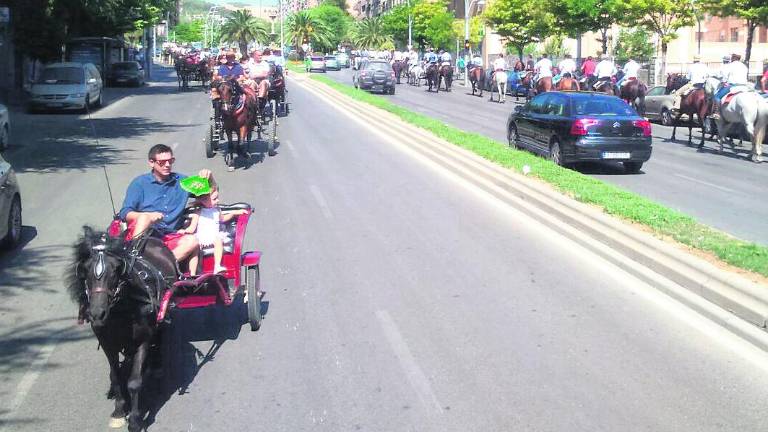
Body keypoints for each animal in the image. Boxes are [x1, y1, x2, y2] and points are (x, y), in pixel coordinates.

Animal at [67, 226, 178, 432]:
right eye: (85, 269)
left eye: (116, 269)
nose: (97, 313)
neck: (121, 310)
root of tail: (153, 240)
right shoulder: (106, 342)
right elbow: (115, 375)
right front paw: (118, 411)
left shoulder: (143, 339)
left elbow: (134, 382)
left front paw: (134, 420)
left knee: (159, 334)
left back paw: (157, 365)